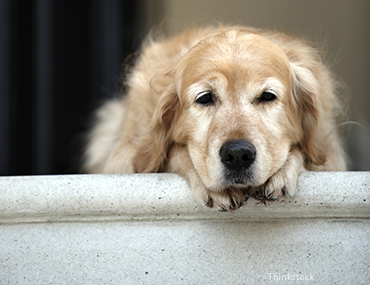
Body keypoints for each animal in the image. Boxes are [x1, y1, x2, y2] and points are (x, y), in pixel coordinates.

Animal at [83, 25, 346, 211]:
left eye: (267, 96)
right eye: (205, 98)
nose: (238, 155)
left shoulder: (331, 158)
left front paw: (281, 171)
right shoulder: (122, 158)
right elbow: (172, 152)